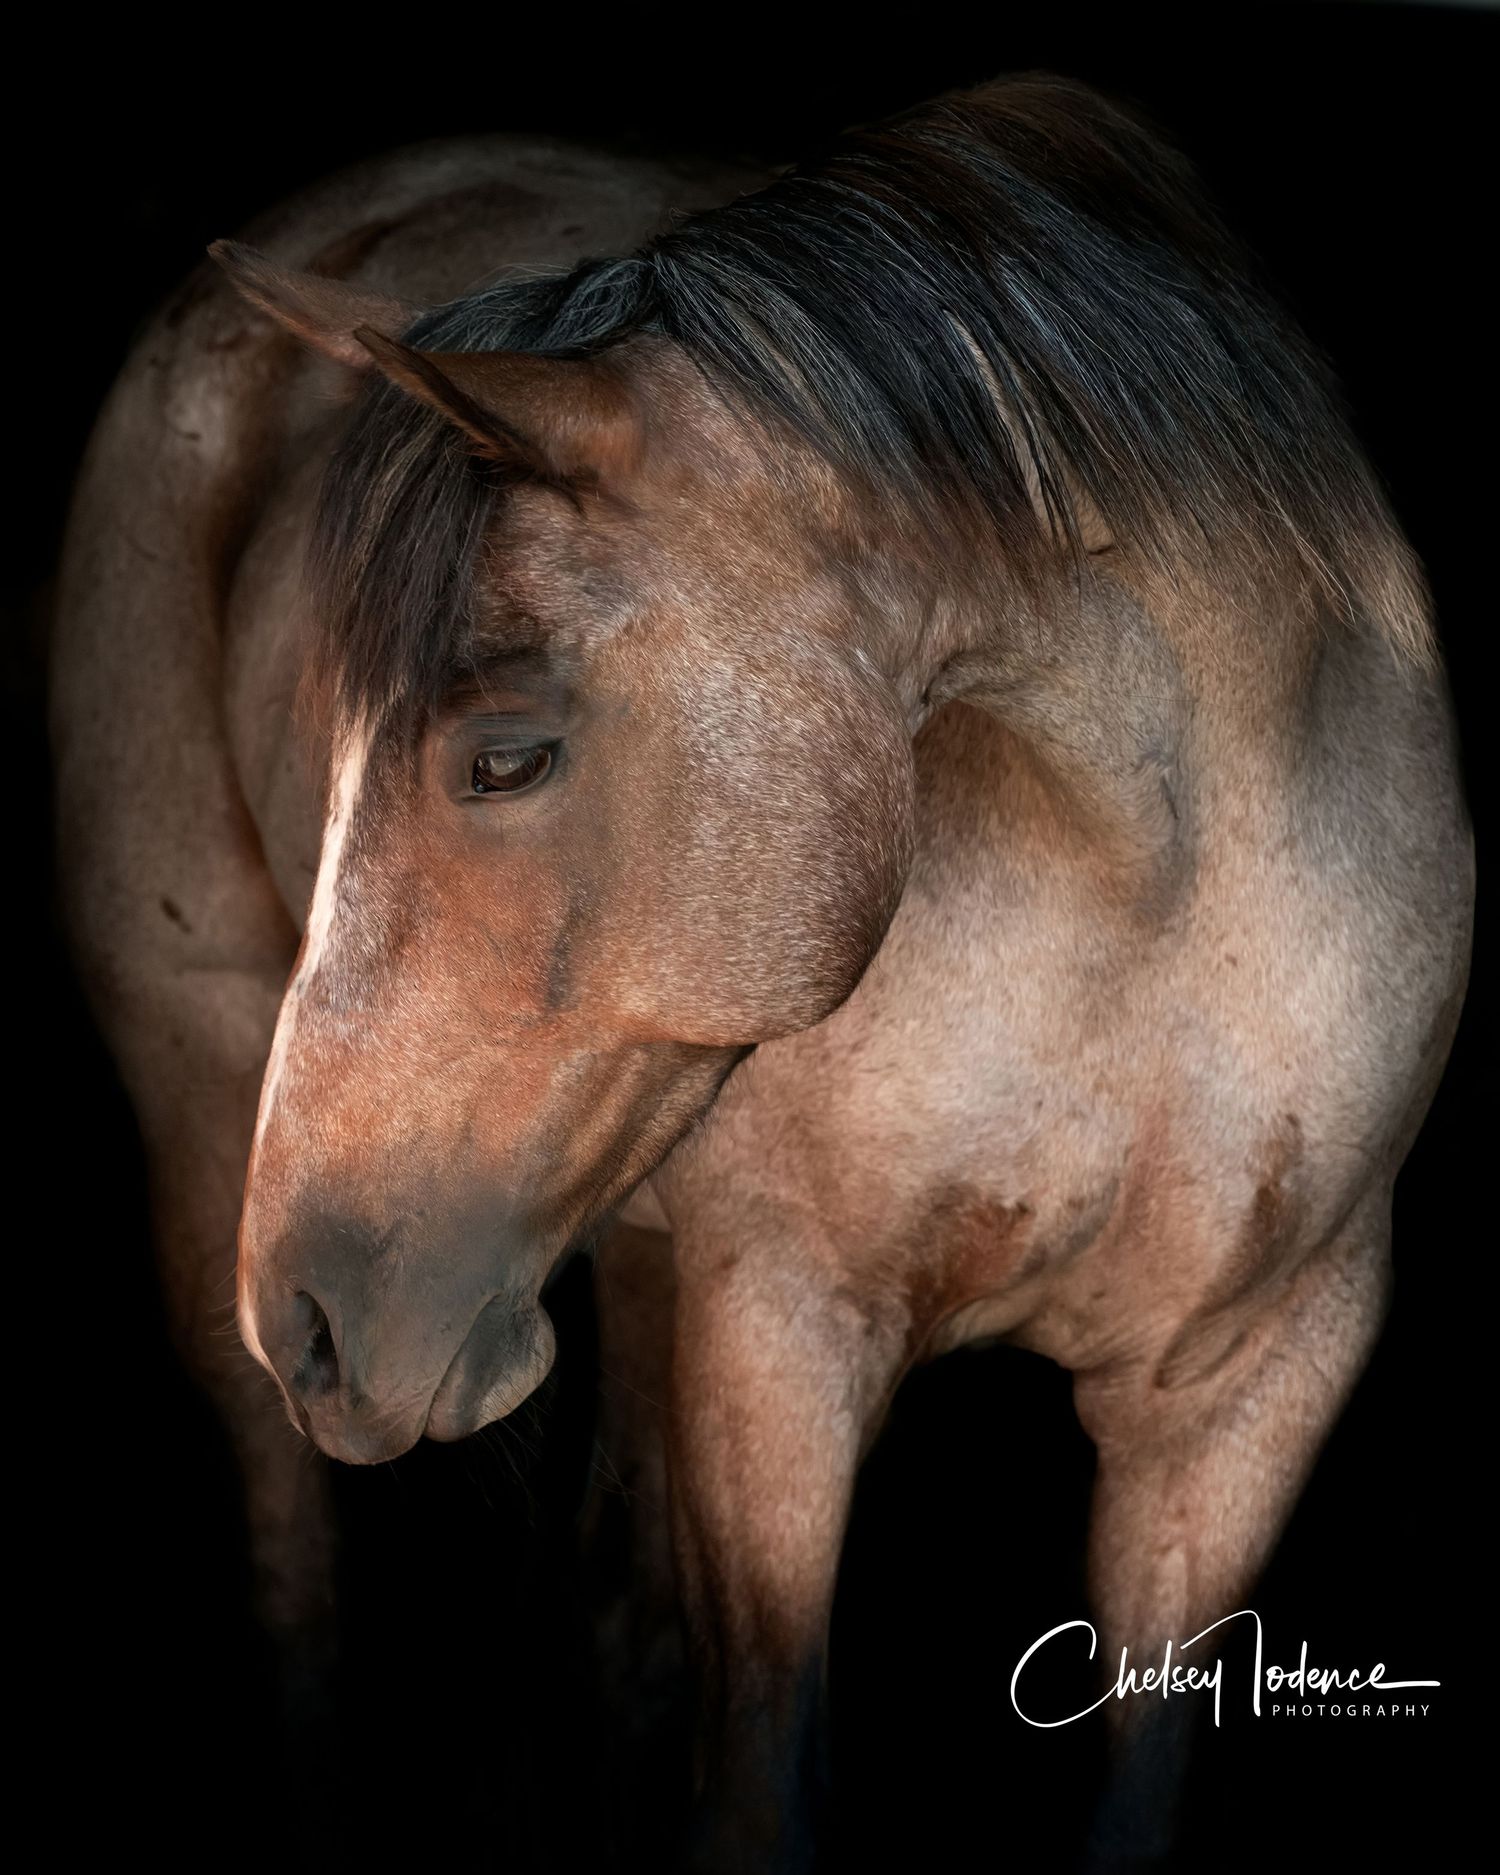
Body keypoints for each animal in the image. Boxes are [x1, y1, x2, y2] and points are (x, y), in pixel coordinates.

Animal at [52, 75, 1472, 1870]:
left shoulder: (1248, 1395)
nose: (306, 1315)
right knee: (300, 1597)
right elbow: (755, 1784)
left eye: (507, 756)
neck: (1155, 897)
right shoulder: (783, 1337)